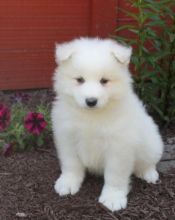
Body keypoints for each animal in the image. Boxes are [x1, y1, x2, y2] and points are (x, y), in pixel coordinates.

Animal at [51, 37, 163, 211]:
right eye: (80, 80)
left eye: (104, 81)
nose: (91, 101)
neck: (91, 116)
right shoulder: (67, 138)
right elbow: (71, 164)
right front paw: (68, 183)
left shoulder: (118, 148)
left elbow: (114, 176)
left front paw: (113, 198)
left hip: (152, 143)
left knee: (149, 161)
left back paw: (149, 174)